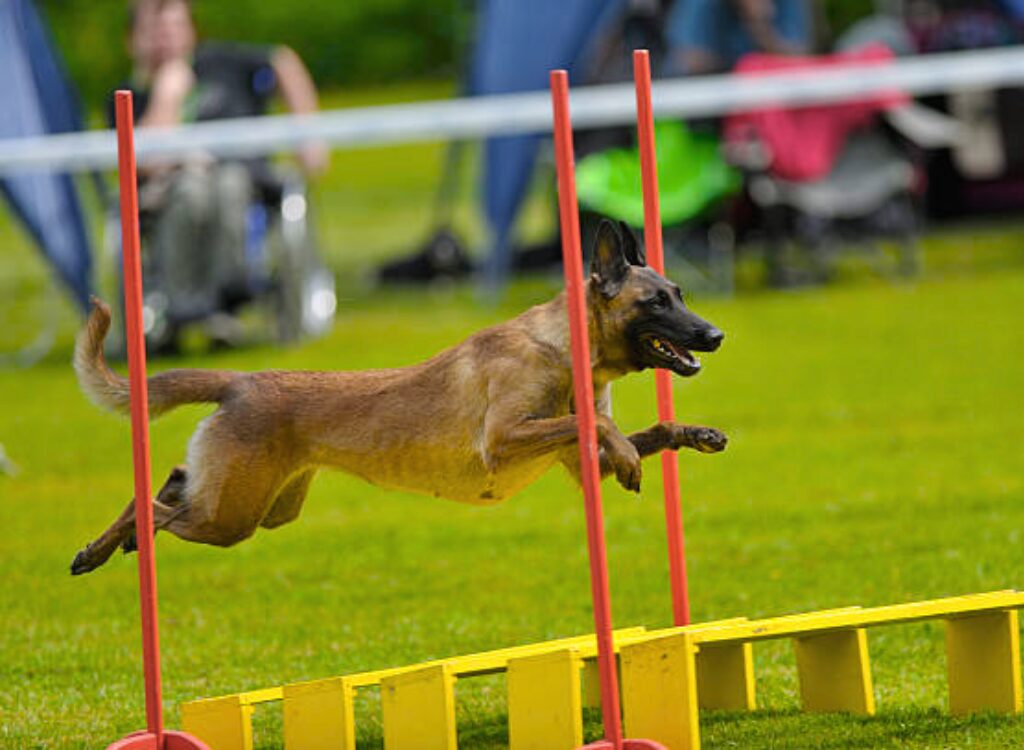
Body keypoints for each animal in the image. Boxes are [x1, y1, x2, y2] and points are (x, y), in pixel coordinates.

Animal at [70, 219, 729, 577]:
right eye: (657, 302)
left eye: (680, 292)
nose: (716, 335)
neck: (563, 347)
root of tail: (240, 380)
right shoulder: (504, 439)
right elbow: (597, 427)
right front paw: (629, 458)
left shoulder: (574, 456)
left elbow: (642, 429)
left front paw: (697, 434)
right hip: (229, 517)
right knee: (151, 508)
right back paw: (104, 546)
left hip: (259, 506)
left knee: (172, 481)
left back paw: (111, 543)